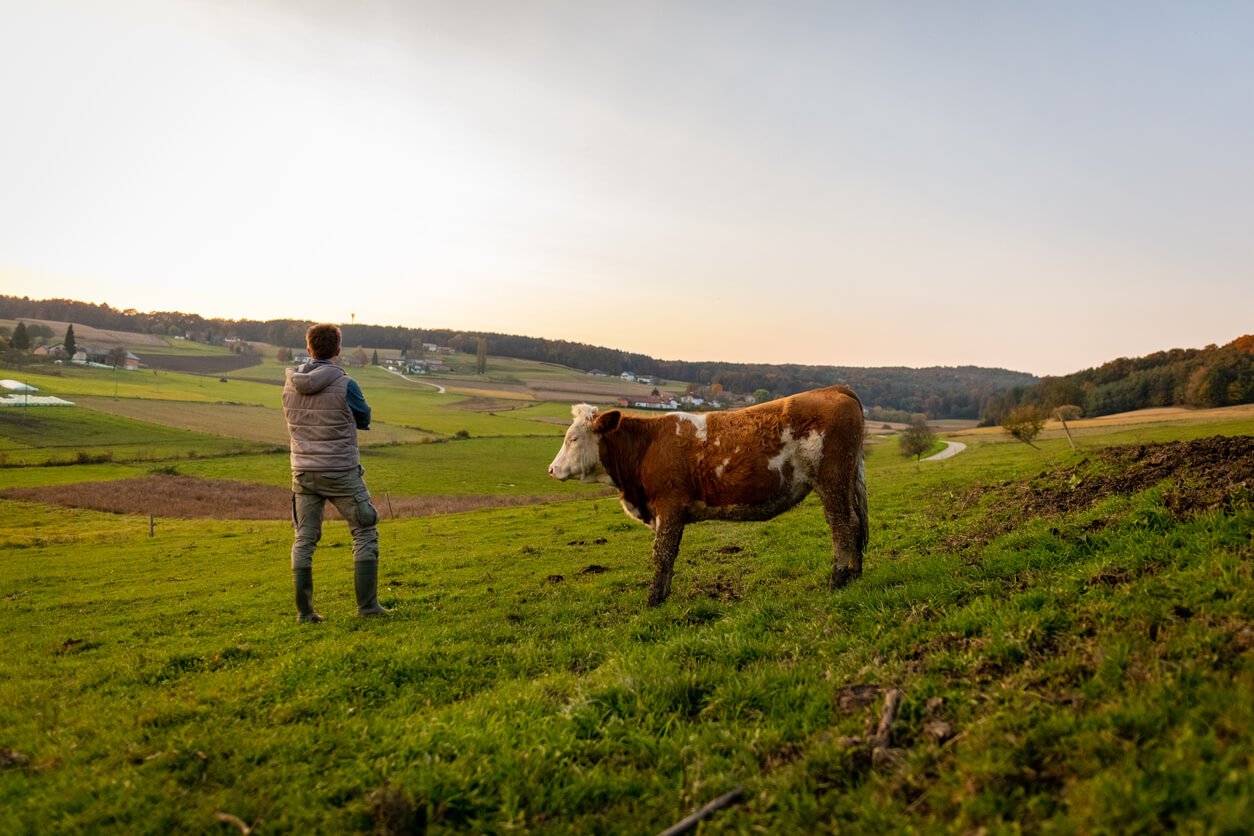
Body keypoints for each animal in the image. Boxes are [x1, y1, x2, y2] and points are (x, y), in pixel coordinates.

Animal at [549, 386, 872, 609]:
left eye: (573, 438)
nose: (551, 469)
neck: (646, 445)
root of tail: (833, 389)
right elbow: (668, 554)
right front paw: (662, 596)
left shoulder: (669, 505)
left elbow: (662, 554)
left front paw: (653, 601)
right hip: (845, 481)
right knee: (855, 523)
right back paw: (855, 574)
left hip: (831, 481)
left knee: (842, 526)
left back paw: (838, 580)